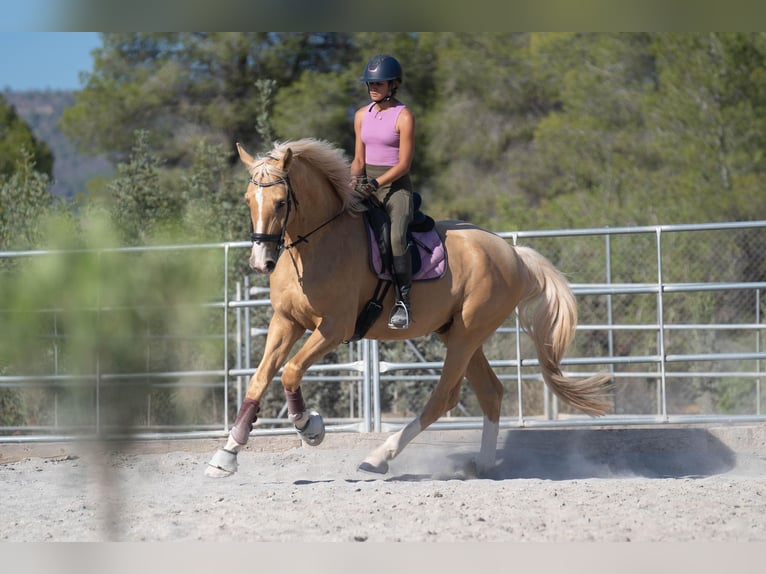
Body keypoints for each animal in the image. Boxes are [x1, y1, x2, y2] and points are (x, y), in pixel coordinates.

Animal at [206, 137, 612, 480]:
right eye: (248, 200)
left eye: (280, 202)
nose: (261, 262)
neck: (318, 243)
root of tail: (514, 254)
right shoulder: (286, 322)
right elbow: (259, 380)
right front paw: (226, 455)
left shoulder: (334, 328)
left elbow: (290, 371)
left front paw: (310, 428)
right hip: (458, 334)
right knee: (491, 392)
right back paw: (482, 465)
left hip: (466, 336)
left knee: (444, 398)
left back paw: (378, 457)